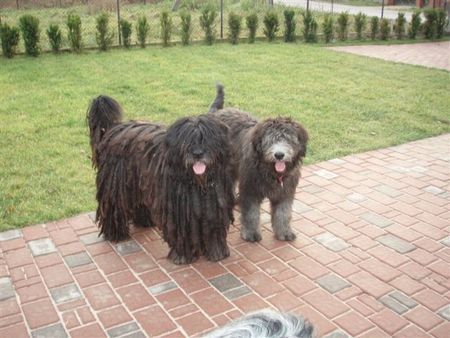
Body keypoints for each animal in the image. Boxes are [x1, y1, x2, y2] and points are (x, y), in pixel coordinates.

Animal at [88, 95, 236, 264]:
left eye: (206, 139)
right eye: (187, 141)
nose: (198, 153)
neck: (197, 181)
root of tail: (113, 128)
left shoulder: (214, 205)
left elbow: (212, 227)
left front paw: (217, 252)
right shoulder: (177, 211)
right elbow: (181, 232)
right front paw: (182, 256)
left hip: (139, 181)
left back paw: (144, 221)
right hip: (116, 185)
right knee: (114, 207)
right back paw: (115, 233)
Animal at [208, 84, 308, 243]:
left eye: (288, 139)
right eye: (270, 140)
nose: (279, 155)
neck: (270, 172)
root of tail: (218, 112)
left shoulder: (285, 192)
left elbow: (283, 214)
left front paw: (284, 232)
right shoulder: (251, 190)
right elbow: (251, 214)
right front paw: (251, 233)